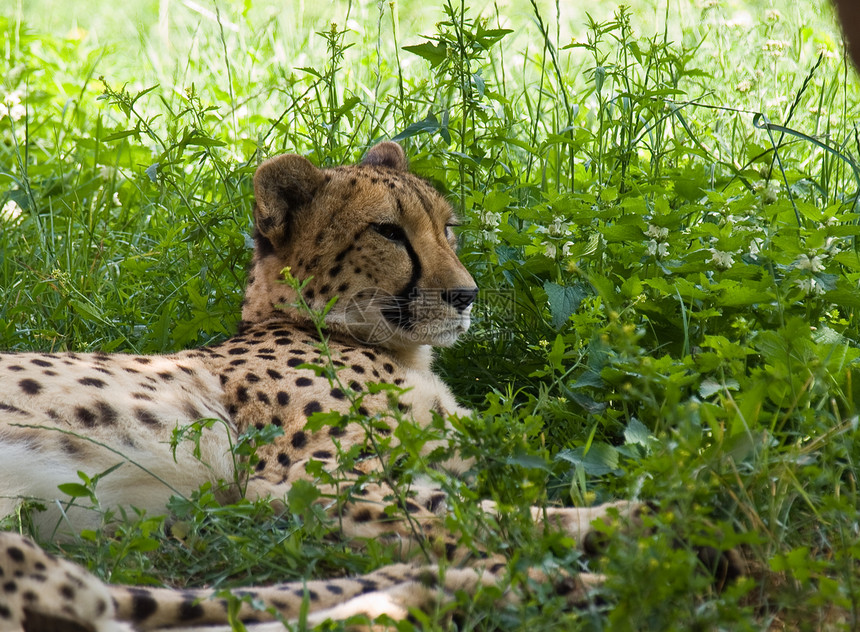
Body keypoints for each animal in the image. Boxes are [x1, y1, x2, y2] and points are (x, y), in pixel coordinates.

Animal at [0, 143, 652, 632]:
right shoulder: (299, 481)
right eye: (388, 231)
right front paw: (621, 525)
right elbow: (466, 514)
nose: (466, 295)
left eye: (447, 229)